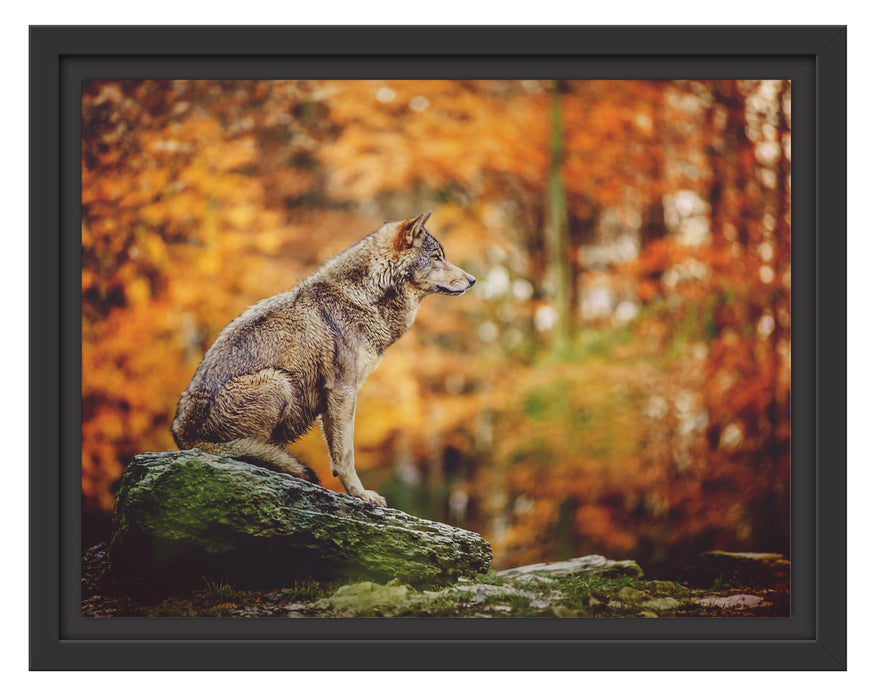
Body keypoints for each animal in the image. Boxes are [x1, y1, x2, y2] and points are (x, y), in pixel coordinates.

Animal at [171, 211, 475, 507]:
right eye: (436, 257)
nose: (472, 280)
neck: (363, 298)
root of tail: (184, 436)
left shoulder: (334, 399)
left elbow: (337, 453)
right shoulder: (343, 391)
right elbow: (346, 454)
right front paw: (361, 495)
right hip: (278, 382)